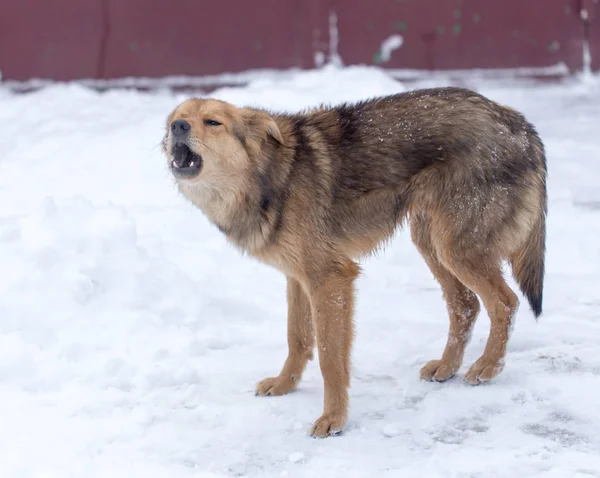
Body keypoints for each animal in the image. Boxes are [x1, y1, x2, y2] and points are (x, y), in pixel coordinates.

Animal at [162, 88, 548, 438]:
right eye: (175, 119)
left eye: (213, 122)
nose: (178, 127)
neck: (271, 177)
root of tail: (520, 123)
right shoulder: (298, 278)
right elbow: (297, 339)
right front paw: (285, 385)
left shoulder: (331, 278)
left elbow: (330, 358)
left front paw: (333, 419)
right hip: (431, 243)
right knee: (466, 304)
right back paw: (447, 367)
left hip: (455, 249)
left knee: (505, 302)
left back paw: (487, 367)